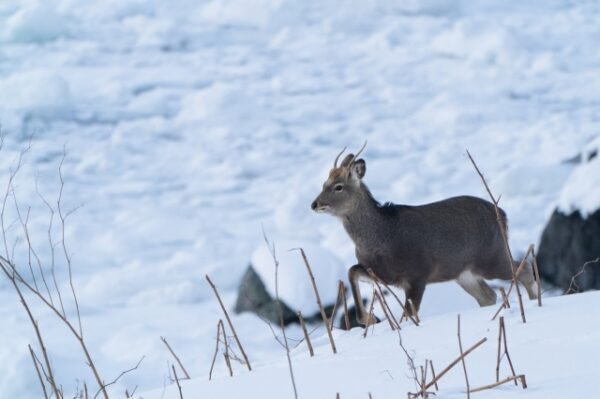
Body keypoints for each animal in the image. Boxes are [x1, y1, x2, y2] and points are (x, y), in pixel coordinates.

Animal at [312, 145, 536, 326]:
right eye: (323, 183)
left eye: (338, 186)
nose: (314, 204)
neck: (382, 237)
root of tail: (503, 216)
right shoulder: (380, 273)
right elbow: (351, 271)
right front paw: (368, 318)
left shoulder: (418, 273)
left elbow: (409, 315)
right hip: (464, 272)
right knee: (488, 296)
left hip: (491, 257)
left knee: (524, 270)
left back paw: (535, 304)